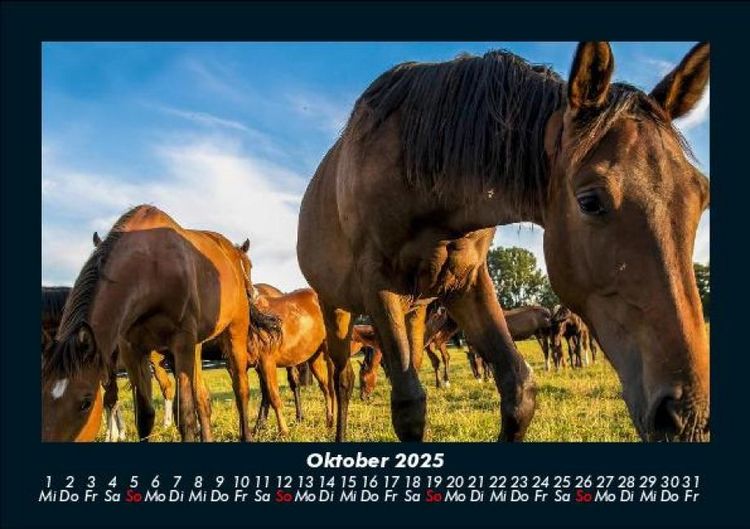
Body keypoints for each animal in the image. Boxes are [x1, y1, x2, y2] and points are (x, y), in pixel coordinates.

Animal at [42, 205, 277, 442]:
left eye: (86, 402)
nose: (253, 293)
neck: (152, 269)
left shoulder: (181, 343)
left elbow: (185, 415)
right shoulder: (132, 350)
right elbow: (145, 416)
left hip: (234, 332)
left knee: (240, 389)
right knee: (203, 398)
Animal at [247, 288, 334, 436]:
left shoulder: (267, 362)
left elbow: (273, 397)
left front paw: (283, 431)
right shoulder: (258, 367)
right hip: (314, 358)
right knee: (326, 387)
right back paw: (329, 421)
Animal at [297, 42, 710, 442]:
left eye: (702, 195)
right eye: (590, 201)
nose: (687, 416)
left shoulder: (466, 282)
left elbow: (518, 390)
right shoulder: (378, 285)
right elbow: (409, 407)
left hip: (413, 309)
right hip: (337, 307)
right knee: (342, 378)